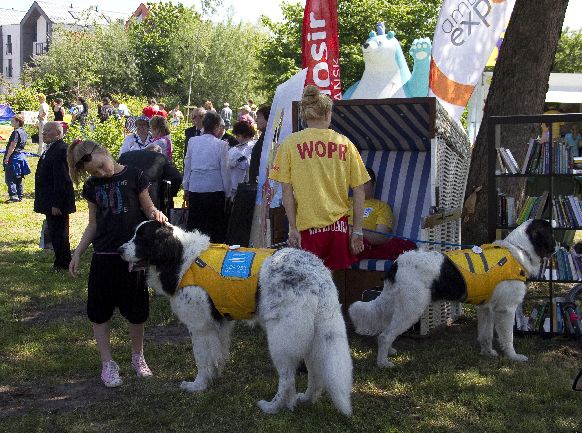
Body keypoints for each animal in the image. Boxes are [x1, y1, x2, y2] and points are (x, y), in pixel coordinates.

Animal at [121, 221, 354, 414]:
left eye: (140, 238)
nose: (120, 249)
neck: (180, 259)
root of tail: (318, 275)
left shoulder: (200, 328)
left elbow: (201, 359)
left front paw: (197, 385)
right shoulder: (220, 323)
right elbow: (217, 353)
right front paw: (214, 375)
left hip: (282, 338)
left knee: (288, 377)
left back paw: (273, 406)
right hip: (314, 335)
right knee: (315, 371)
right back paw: (306, 398)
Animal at [350, 219, 560, 364]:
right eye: (550, 233)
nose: (559, 246)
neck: (519, 250)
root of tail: (396, 263)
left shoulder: (486, 309)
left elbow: (486, 335)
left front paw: (488, 353)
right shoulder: (506, 310)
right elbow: (508, 338)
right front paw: (513, 357)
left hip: (400, 307)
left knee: (387, 331)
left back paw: (390, 352)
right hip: (412, 309)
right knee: (384, 335)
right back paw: (383, 363)